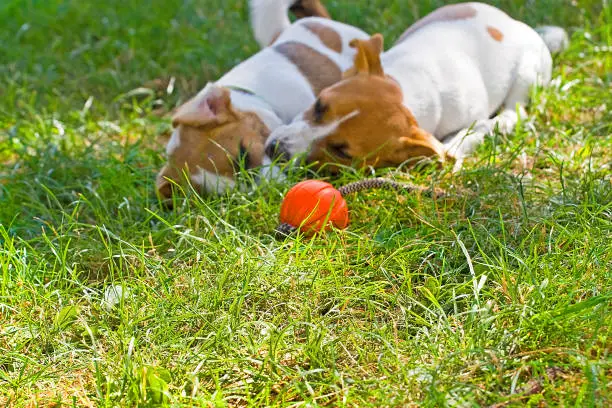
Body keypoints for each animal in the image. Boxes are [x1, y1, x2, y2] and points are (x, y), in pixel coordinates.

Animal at [266, 1, 568, 171]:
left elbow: (465, 135)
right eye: (319, 106)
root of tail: (519, 25)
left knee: (515, 111)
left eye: (342, 152)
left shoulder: (471, 119)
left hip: (527, 74)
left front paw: (455, 147)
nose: (276, 150)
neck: (410, 92)